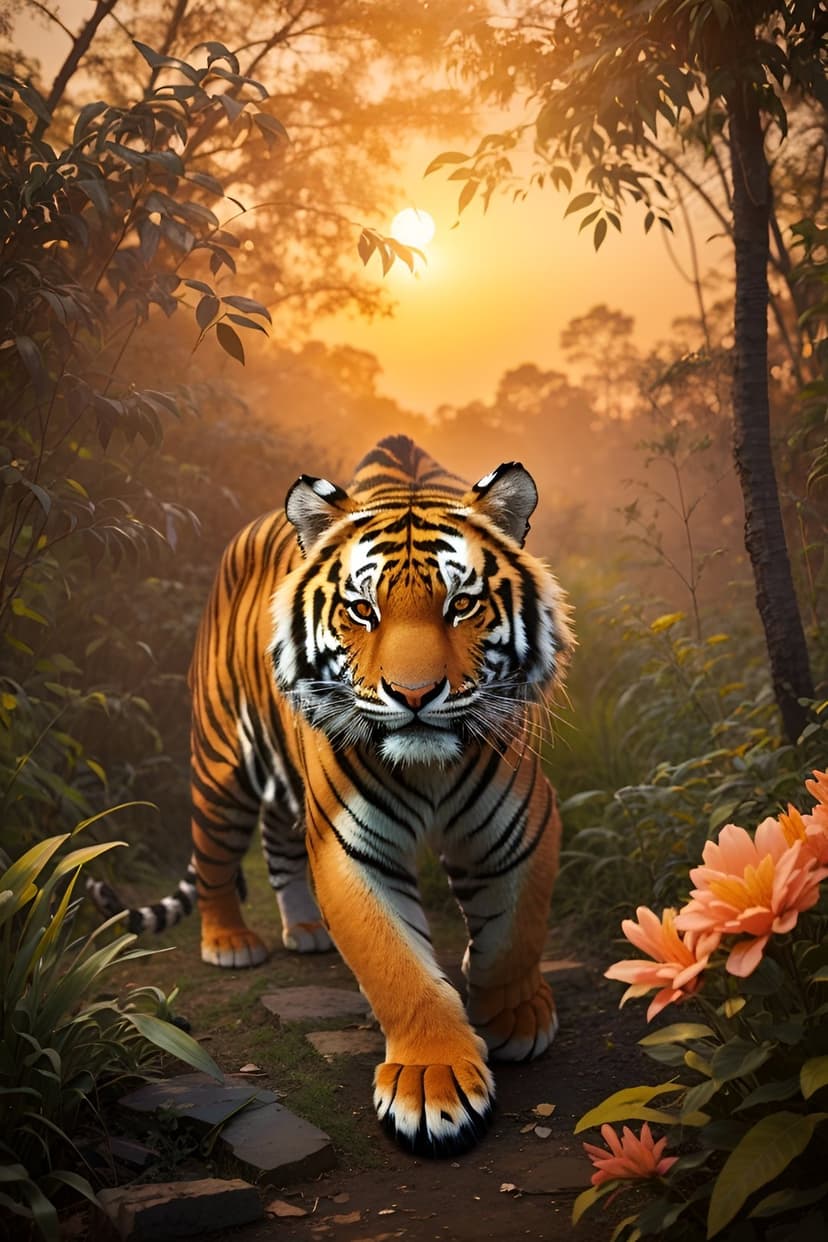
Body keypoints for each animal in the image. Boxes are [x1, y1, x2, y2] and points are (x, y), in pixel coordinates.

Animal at [90, 434, 574, 1157]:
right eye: (361, 609)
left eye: (460, 605)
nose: (414, 695)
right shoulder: (355, 844)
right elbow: (397, 967)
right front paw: (433, 1084)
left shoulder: (520, 823)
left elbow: (516, 929)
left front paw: (514, 1014)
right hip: (220, 767)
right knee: (214, 856)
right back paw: (230, 941)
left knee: (278, 845)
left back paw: (306, 930)